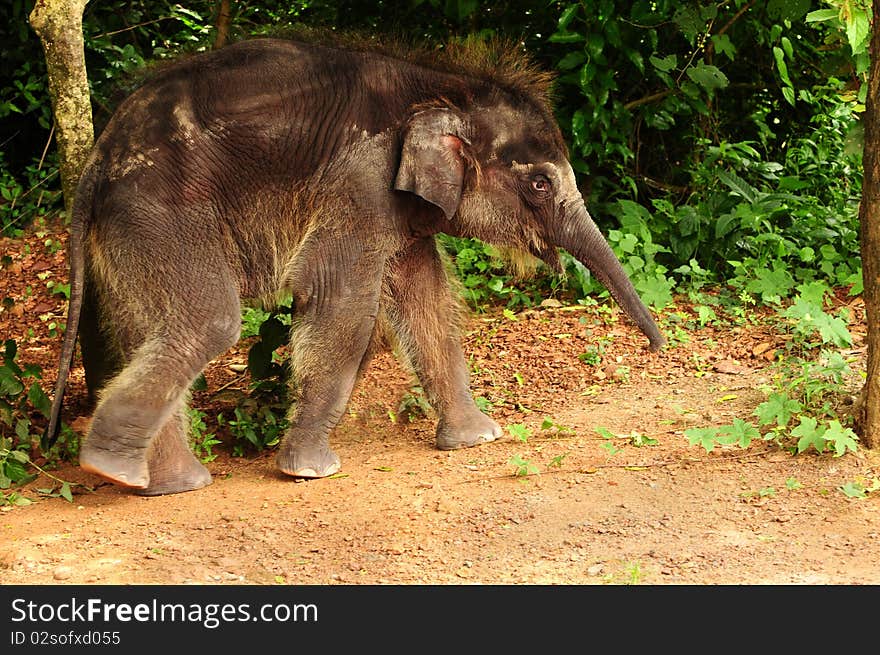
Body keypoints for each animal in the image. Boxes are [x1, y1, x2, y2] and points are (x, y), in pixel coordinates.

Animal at [48, 36, 664, 494]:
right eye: (539, 183)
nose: (658, 349)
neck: (442, 86)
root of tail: (99, 154)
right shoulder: (361, 179)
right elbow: (337, 299)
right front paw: (310, 471)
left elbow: (427, 299)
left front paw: (478, 439)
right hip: (160, 210)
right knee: (210, 318)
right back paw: (113, 467)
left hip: (131, 229)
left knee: (144, 326)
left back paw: (166, 483)